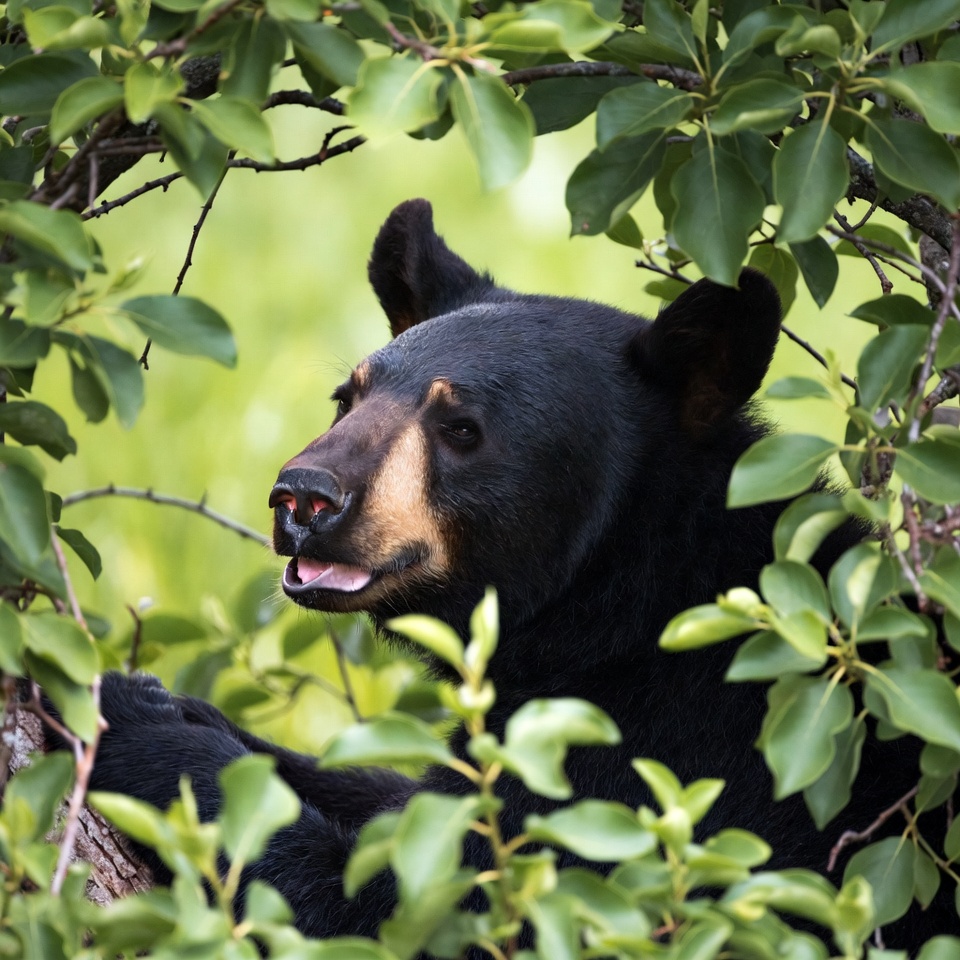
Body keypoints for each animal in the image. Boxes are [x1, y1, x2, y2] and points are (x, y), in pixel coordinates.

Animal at [55, 199, 943, 948]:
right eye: (347, 396)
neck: (630, 600)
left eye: (462, 428)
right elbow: (401, 795)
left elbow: (406, 906)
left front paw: (127, 719)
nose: (303, 498)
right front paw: (174, 703)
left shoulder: (669, 762)